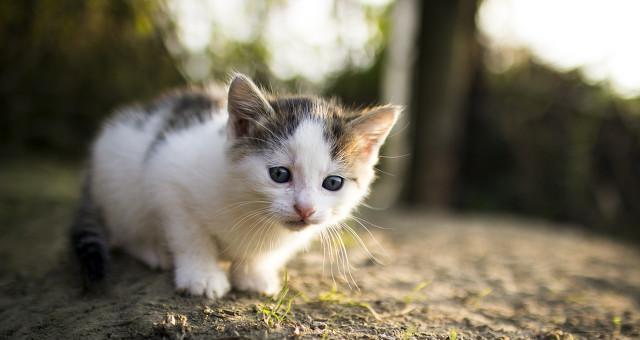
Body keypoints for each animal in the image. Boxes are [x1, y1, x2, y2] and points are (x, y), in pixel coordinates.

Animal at [70, 73, 400, 298]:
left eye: (333, 183)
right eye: (279, 175)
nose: (304, 209)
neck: (250, 209)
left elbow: (262, 255)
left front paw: (254, 275)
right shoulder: (169, 177)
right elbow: (191, 235)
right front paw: (202, 276)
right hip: (118, 183)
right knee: (125, 228)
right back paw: (153, 251)